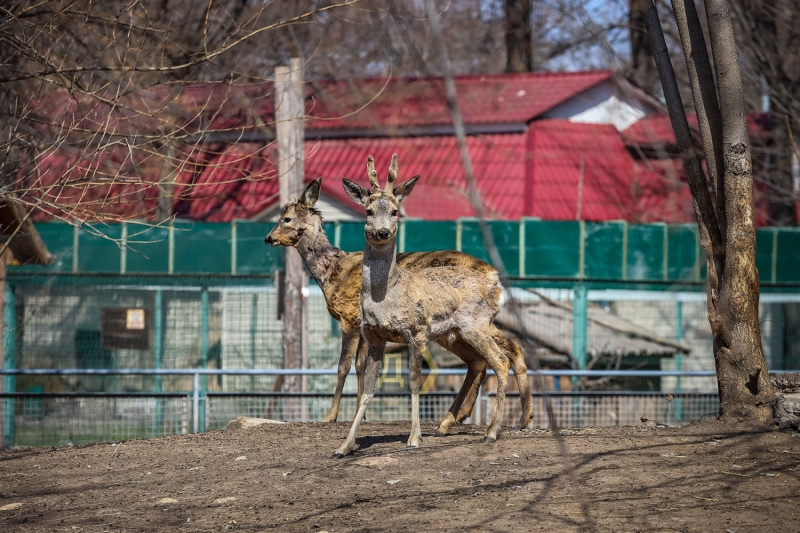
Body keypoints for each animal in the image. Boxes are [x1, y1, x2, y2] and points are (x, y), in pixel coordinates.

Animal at [266, 177, 536, 438]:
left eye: (286, 218)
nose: (268, 238)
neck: (332, 272)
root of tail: (493, 276)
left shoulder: (349, 317)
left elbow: (343, 366)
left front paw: (331, 416)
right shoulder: (367, 327)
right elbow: (361, 366)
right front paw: (360, 414)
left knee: (493, 355)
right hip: (458, 329)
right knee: (499, 353)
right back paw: (511, 418)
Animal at [332, 155, 516, 458]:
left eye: (395, 211)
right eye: (368, 211)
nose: (383, 231)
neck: (386, 297)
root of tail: (497, 285)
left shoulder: (416, 330)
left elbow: (415, 382)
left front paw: (414, 437)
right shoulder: (373, 337)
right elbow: (368, 390)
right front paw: (344, 445)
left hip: (475, 323)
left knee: (501, 360)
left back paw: (491, 432)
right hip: (453, 333)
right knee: (481, 361)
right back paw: (448, 425)